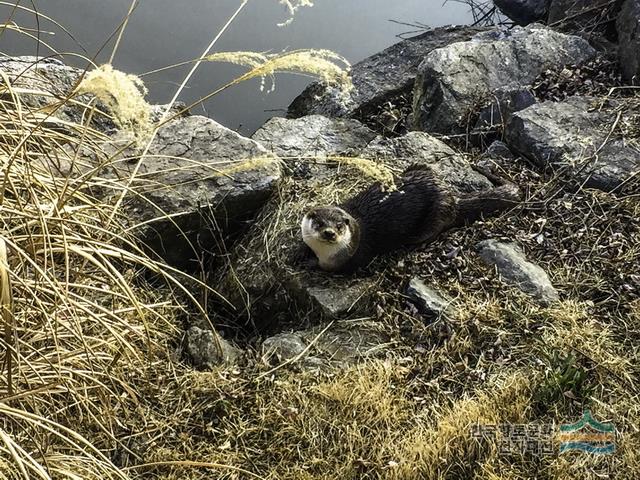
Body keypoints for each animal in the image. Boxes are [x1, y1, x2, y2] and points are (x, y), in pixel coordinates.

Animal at [298, 165, 520, 272]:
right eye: (319, 223)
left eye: (339, 227)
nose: (329, 233)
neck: (325, 254)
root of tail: (451, 196)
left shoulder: (353, 257)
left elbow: (326, 268)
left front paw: (310, 263)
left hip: (438, 212)